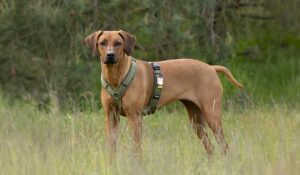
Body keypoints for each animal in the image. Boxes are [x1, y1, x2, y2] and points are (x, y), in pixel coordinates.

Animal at [83, 29, 243, 156]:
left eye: (118, 43)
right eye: (102, 43)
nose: (110, 55)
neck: (116, 78)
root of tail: (211, 68)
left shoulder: (135, 117)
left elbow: (136, 148)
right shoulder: (111, 116)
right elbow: (111, 147)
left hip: (212, 115)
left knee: (224, 146)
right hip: (196, 120)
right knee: (210, 147)